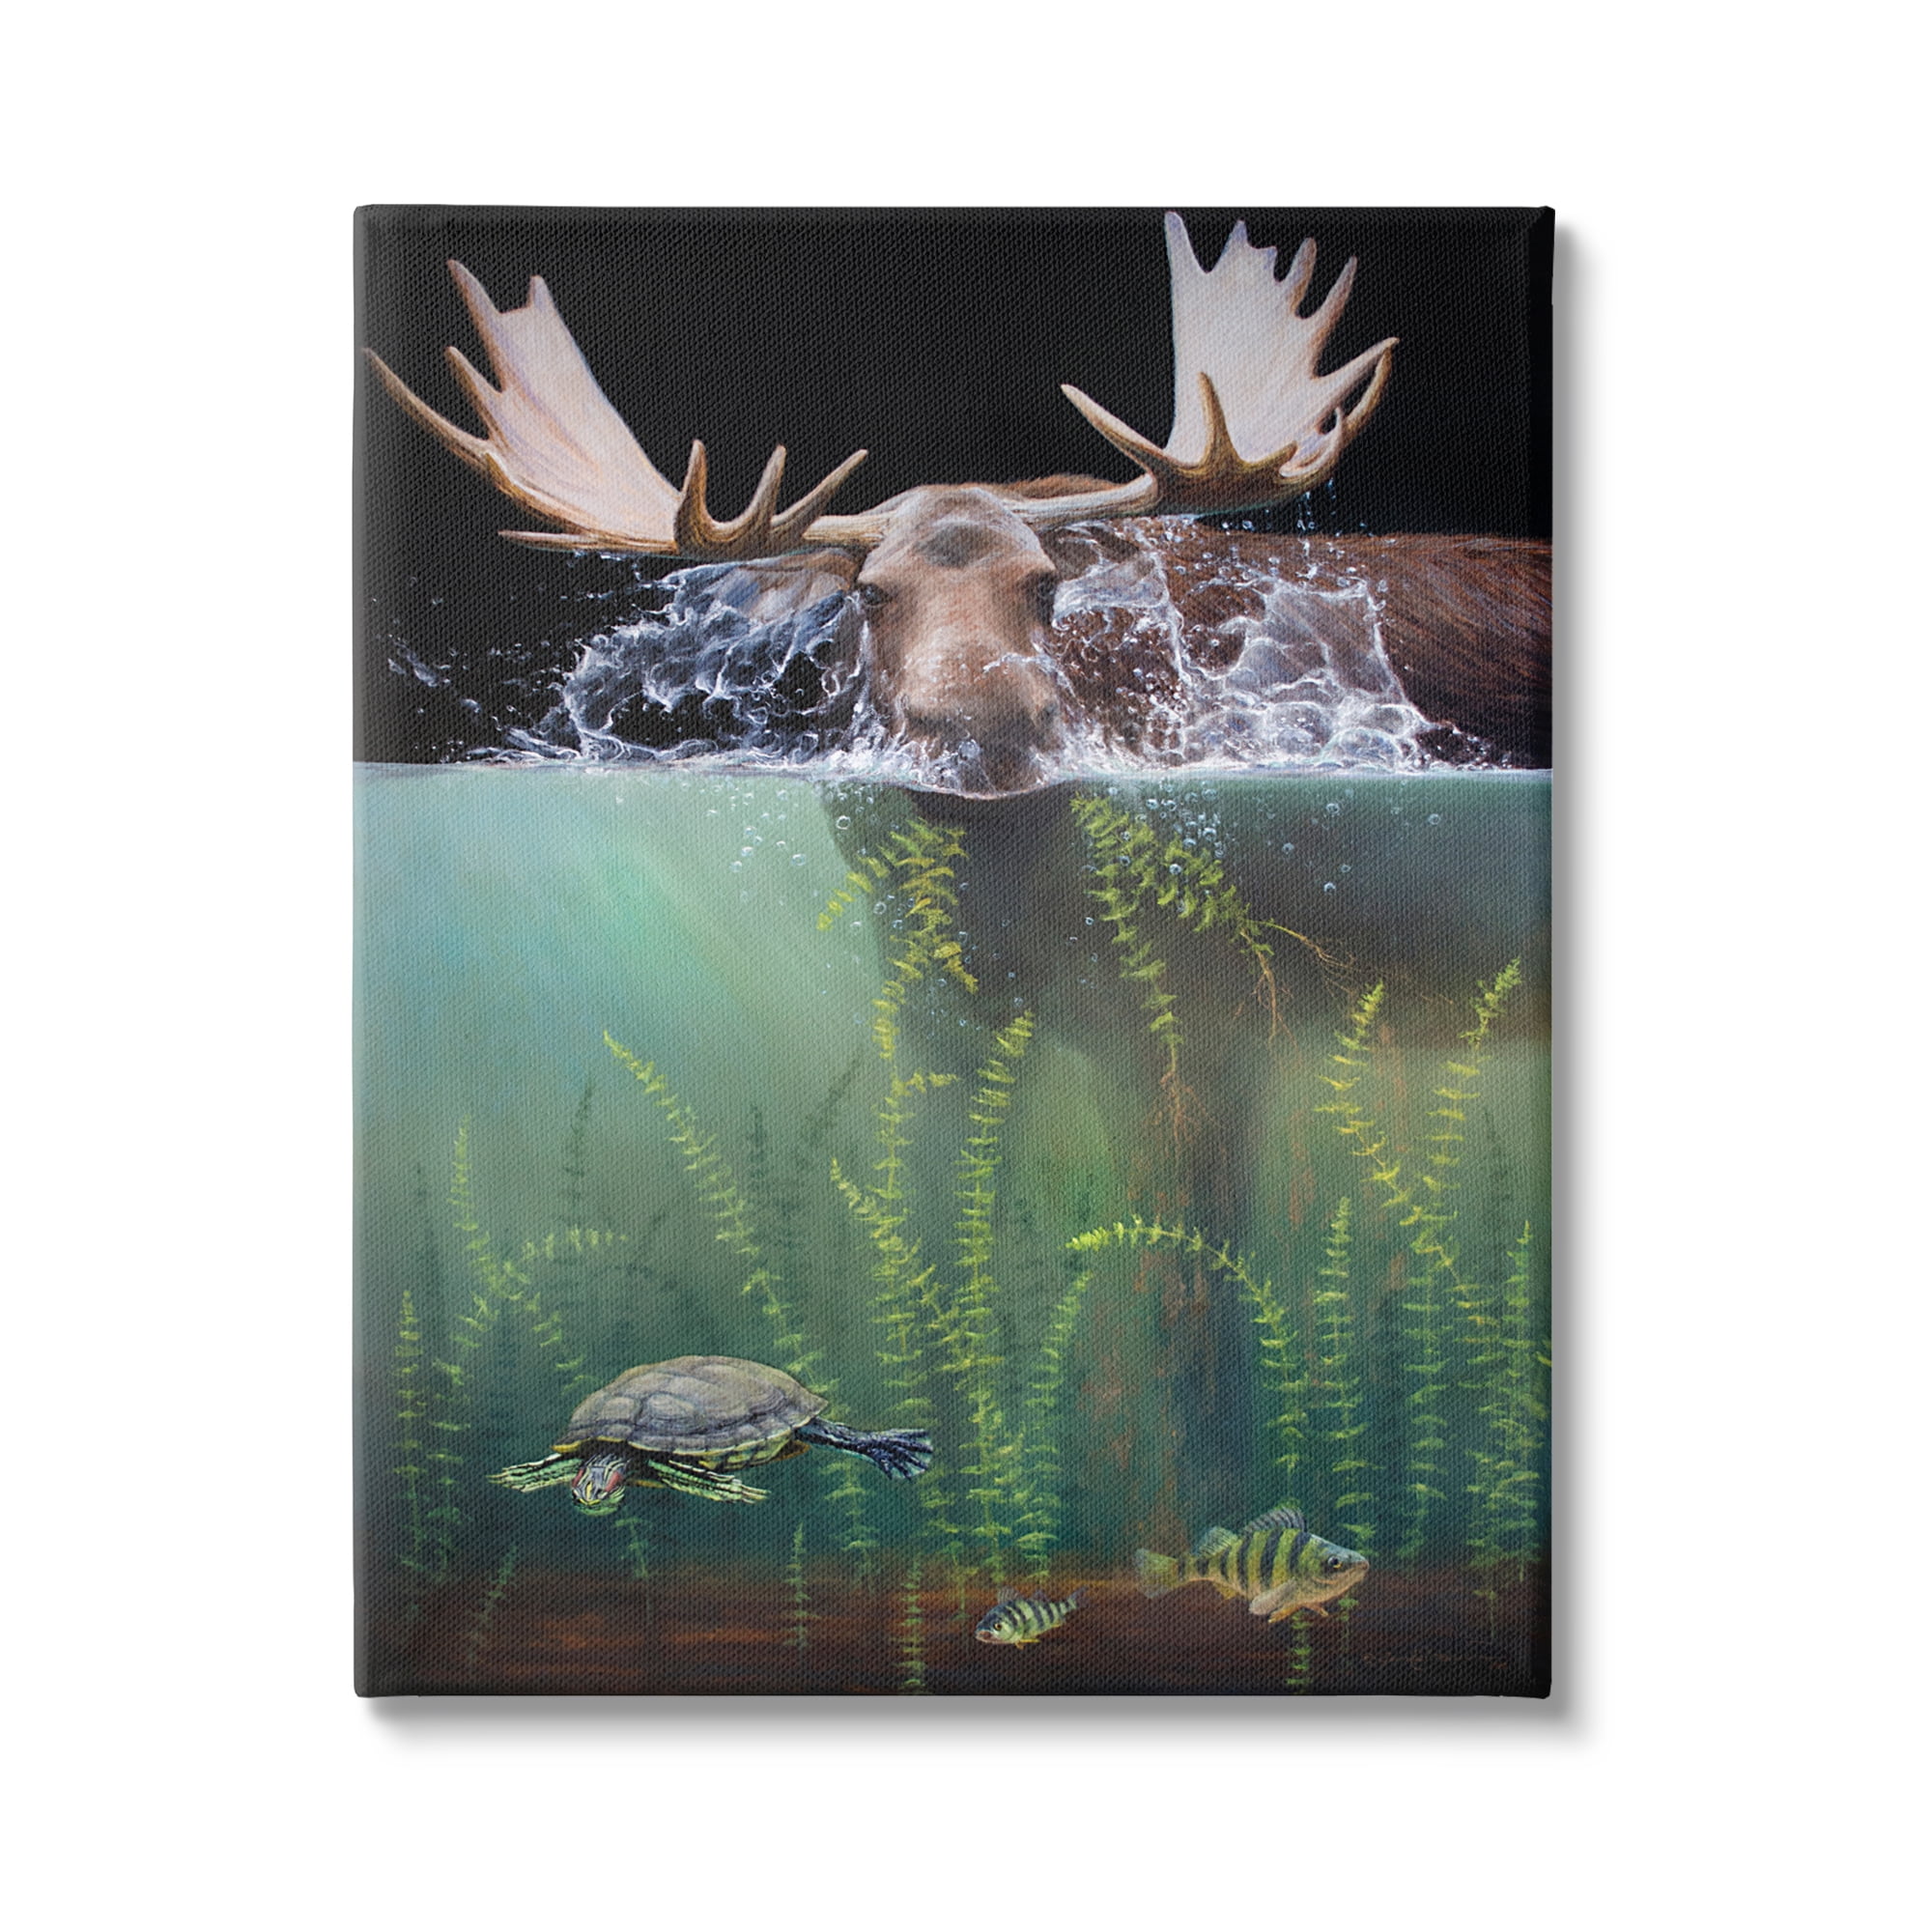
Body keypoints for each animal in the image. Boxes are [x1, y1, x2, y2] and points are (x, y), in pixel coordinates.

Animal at [367, 212, 1550, 1531]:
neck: (1011, 905)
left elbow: (1192, 1312)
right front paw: (965, 1481)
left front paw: (1205, 1515)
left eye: (1044, 582)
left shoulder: (1205, 1015)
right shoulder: (941, 1016)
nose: (986, 718)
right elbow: (943, 1261)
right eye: (868, 594)